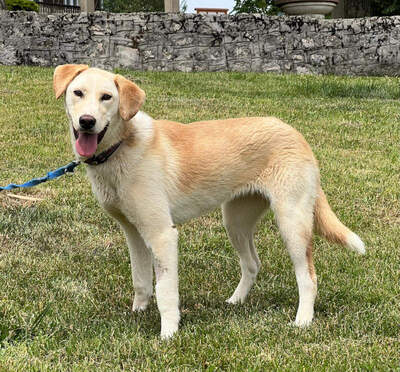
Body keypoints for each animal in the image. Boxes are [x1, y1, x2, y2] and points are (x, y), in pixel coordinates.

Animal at [53, 64, 366, 340]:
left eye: (107, 97)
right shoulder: (134, 233)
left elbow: (166, 292)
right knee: (252, 264)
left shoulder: (162, 235)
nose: (87, 122)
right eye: (78, 93)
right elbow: (140, 280)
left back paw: (302, 321)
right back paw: (235, 302)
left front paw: (168, 334)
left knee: (308, 277)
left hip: (292, 223)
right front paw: (138, 312)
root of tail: (295, 134)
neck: (121, 148)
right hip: (236, 222)